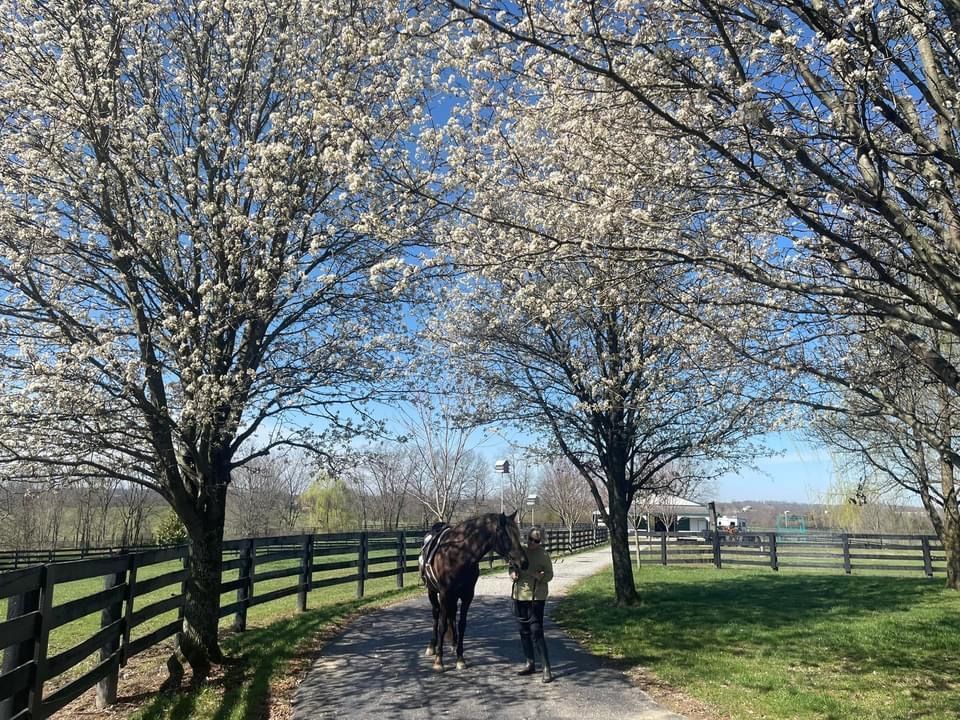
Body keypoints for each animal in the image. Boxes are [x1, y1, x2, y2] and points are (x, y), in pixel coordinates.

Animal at [418, 510, 528, 672]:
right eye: (507, 536)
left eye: (517, 534)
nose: (523, 562)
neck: (457, 555)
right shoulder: (444, 594)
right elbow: (442, 626)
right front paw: (439, 661)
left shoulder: (467, 596)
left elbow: (462, 624)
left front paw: (460, 658)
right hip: (433, 592)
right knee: (436, 615)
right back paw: (432, 647)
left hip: (452, 597)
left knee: (451, 616)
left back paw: (454, 645)